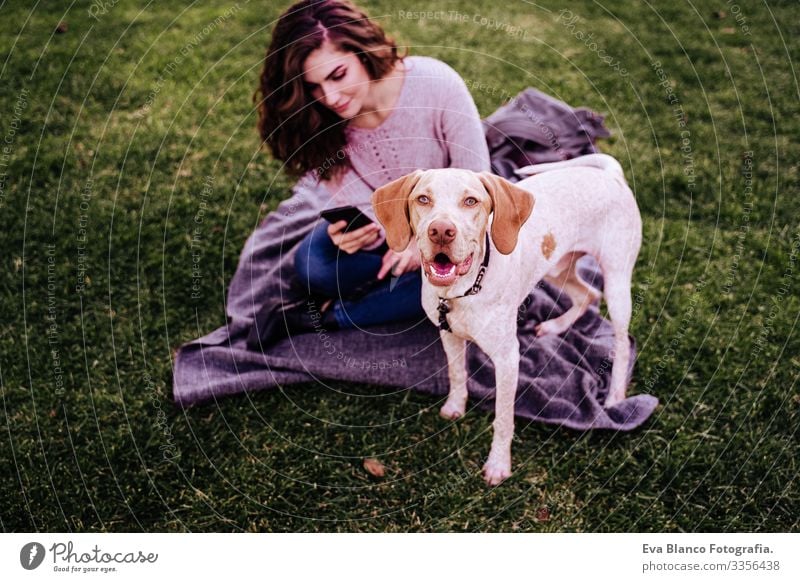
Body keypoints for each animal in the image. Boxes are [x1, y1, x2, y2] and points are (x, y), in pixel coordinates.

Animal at [372, 155, 640, 488]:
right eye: (423, 199)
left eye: (471, 201)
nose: (441, 231)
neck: (463, 291)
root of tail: (612, 175)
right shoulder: (449, 335)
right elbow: (457, 375)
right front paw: (455, 407)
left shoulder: (507, 358)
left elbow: (502, 418)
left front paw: (498, 465)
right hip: (558, 268)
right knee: (588, 295)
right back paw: (554, 326)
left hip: (617, 283)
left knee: (622, 342)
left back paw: (616, 396)